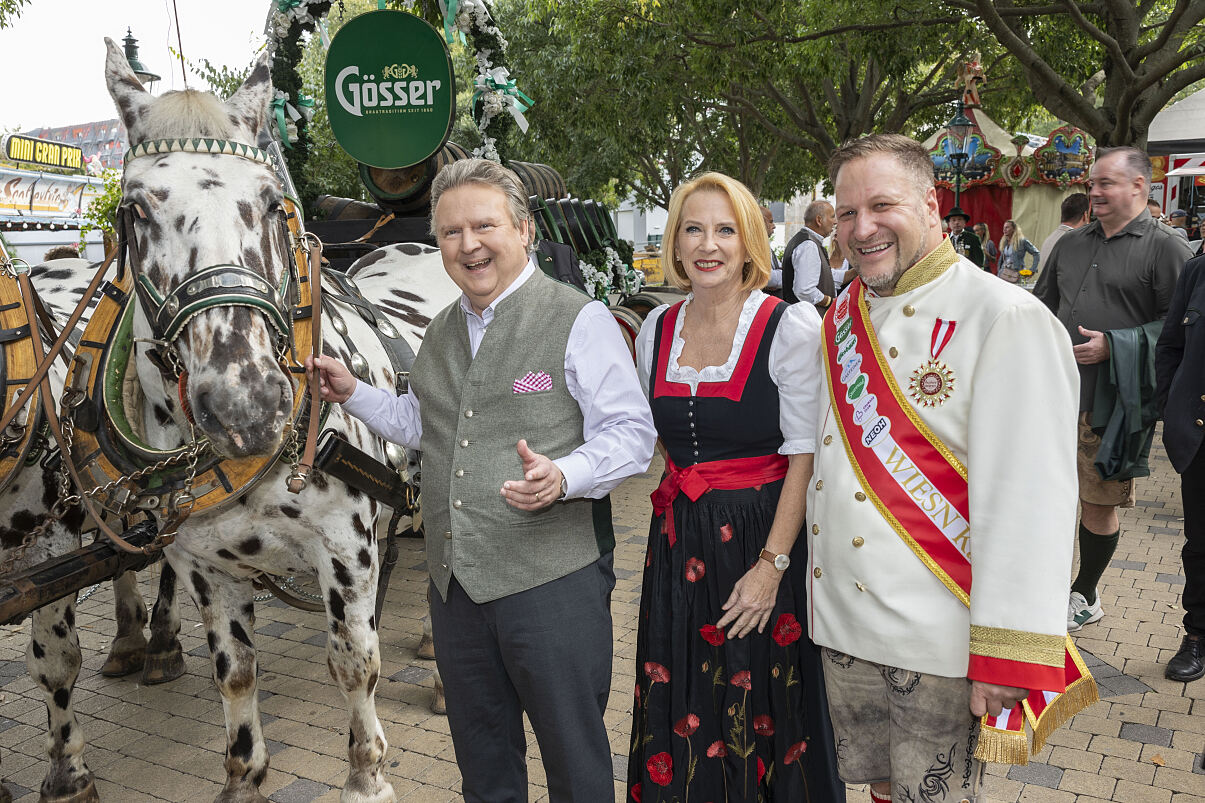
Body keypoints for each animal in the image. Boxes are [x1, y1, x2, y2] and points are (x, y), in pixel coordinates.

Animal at [83, 39, 460, 800]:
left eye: (267, 203)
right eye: (136, 210)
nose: (248, 406)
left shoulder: (344, 548)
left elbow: (353, 660)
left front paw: (367, 774)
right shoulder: (201, 563)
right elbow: (235, 673)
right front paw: (244, 774)